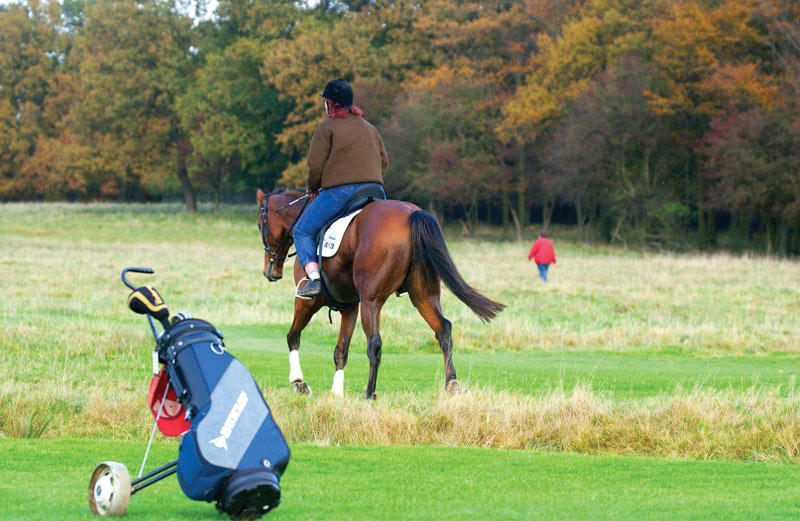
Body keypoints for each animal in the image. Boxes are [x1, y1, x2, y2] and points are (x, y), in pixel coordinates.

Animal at [258, 189, 506, 400]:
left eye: (260, 225)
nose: (270, 271)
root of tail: (411, 213)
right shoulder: (350, 306)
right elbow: (341, 350)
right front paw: (336, 392)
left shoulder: (308, 302)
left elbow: (293, 336)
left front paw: (299, 382)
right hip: (423, 295)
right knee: (443, 329)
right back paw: (452, 385)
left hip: (372, 301)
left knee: (374, 343)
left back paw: (370, 393)